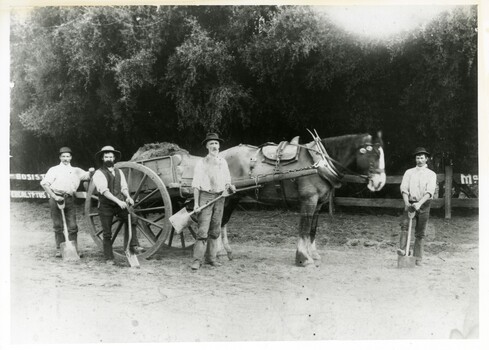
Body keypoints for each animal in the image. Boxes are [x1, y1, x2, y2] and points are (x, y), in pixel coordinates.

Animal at [218, 133, 386, 266]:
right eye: (374, 156)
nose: (380, 182)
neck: (318, 164)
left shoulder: (318, 204)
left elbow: (312, 229)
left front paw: (313, 254)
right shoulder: (309, 200)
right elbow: (304, 228)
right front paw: (303, 258)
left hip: (234, 197)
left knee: (223, 222)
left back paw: (227, 251)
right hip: (228, 197)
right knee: (220, 221)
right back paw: (220, 253)